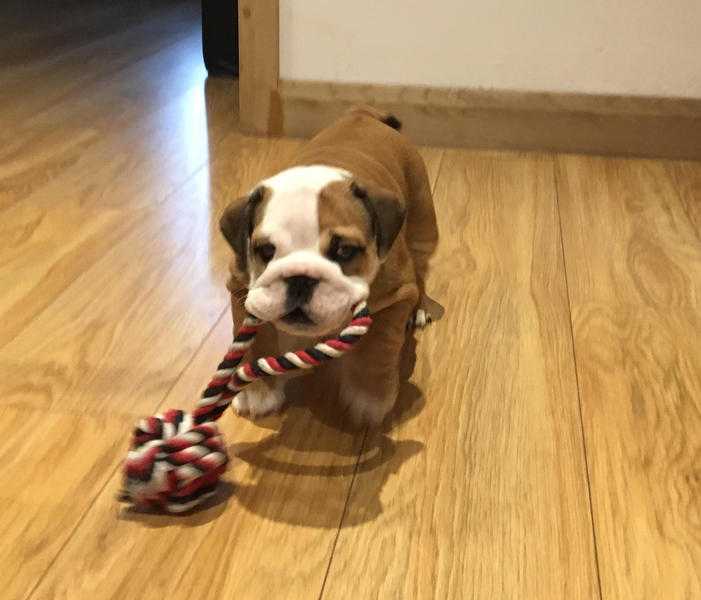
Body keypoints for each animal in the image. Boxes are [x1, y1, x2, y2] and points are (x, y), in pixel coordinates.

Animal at [220, 108, 438, 426]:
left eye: (344, 251)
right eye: (266, 250)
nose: (300, 278)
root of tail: (364, 113)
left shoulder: (396, 297)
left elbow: (379, 345)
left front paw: (370, 395)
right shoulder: (240, 288)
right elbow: (253, 340)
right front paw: (257, 390)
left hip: (423, 224)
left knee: (421, 270)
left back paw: (422, 307)